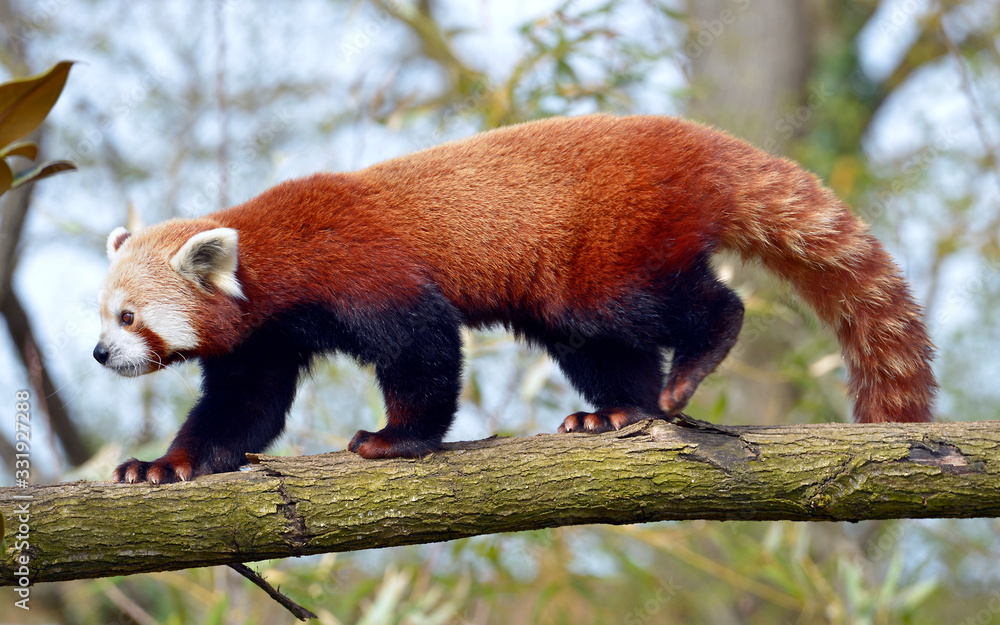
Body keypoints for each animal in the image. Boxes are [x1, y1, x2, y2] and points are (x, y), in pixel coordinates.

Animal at [94, 113, 936, 482]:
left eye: (130, 316)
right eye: (99, 316)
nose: (101, 353)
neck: (272, 257)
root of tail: (700, 141)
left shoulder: (359, 267)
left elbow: (424, 346)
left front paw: (397, 438)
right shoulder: (264, 338)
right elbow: (244, 408)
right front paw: (164, 463)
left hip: (612, 247)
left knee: (669, 306)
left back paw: (697, 355)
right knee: (598, 346)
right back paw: (617, 411)